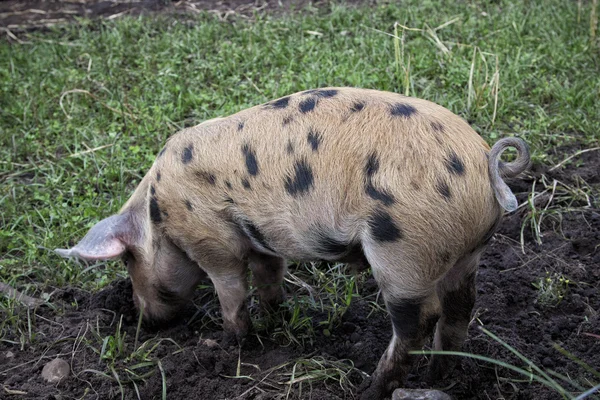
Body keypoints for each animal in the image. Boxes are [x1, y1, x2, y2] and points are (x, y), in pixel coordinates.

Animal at [56, 86, 528, 396]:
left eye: (129, 262)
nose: (143, 319)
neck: (159, 212)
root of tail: (483, 164)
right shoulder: (264, 240)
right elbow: (269, 276)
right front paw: (276, 317)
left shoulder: (213, 238)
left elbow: (231, 290)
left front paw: (231, 343)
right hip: (465, 254)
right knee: (460, 307)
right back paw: (438, 377)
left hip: (403, 251)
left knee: (420, 318)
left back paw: (371, 388)